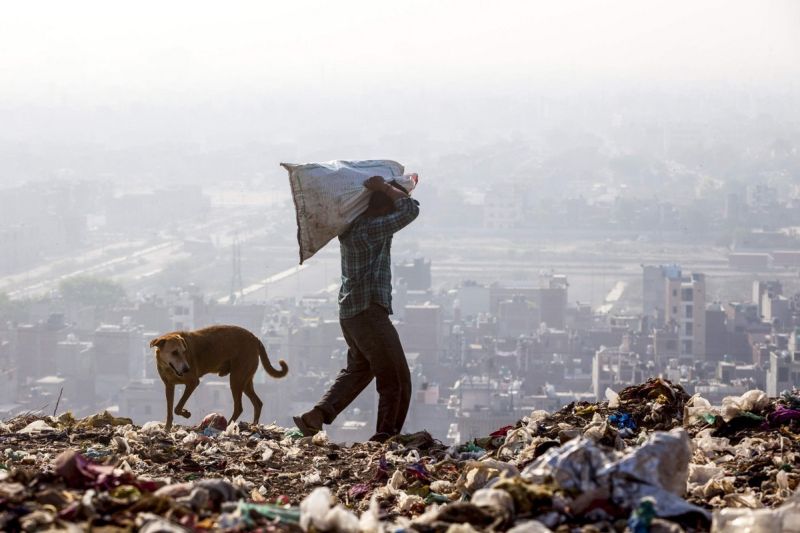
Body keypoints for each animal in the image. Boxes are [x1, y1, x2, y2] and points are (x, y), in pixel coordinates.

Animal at [148, 322, 290, 430]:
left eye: (184, 352)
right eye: (174, 352)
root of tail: (255, 338)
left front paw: (186, 414)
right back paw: (254, 425)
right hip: (245, 381)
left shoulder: (193, 382)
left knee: (239, 407)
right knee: (258, 403)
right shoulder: (169, 386)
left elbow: (177, 407)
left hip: (236, 379)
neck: (168, 367)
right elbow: (170, 410)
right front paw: (167, 428)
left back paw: (228, 426)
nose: (187, 369)